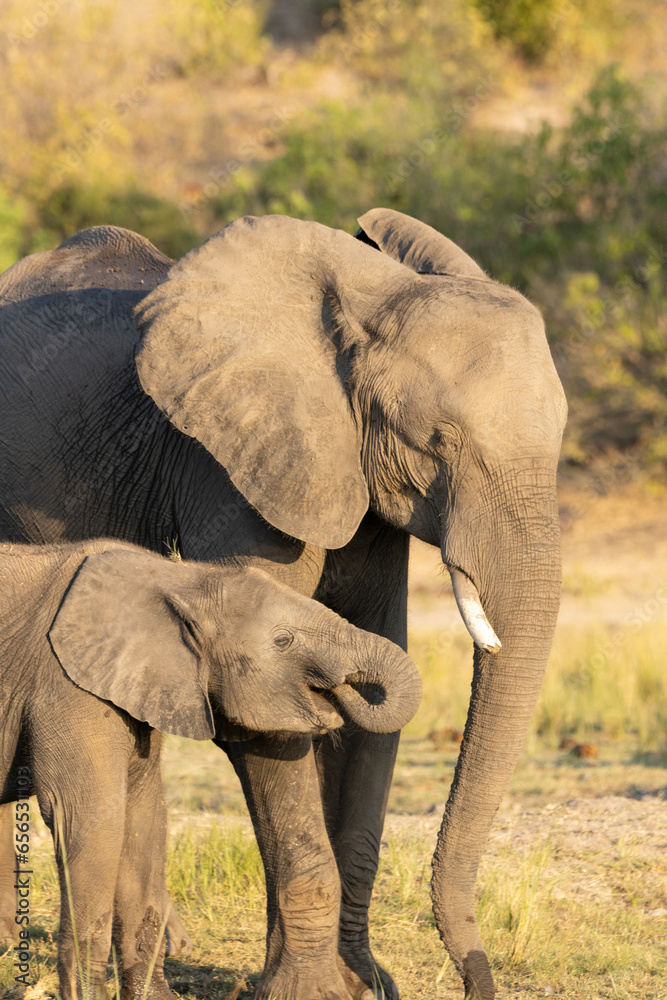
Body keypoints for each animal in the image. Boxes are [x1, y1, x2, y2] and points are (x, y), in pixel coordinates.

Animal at [0, 537, 420, 1000]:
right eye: (284, 640)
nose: (343, 690)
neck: (181, 579)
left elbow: (144, 821)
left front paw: (155, 999)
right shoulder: (65, 685)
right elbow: (91, 819)